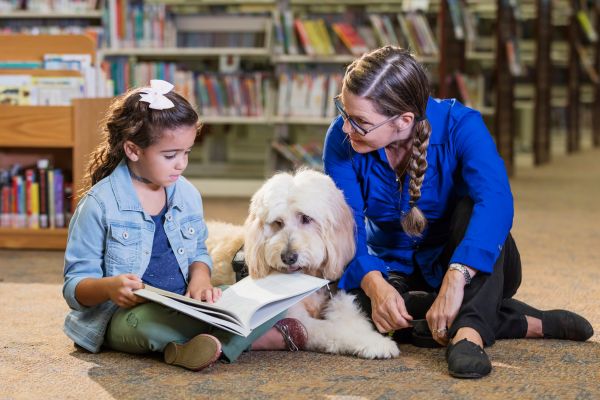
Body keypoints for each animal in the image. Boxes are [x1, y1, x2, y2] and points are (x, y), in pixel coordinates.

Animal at [206, 169, 398, 360]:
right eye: (278, 222)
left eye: (306, 218)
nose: (288, 257)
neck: (309, 275)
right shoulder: (299, 318)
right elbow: (334, 329)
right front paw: (375, 343)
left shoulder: (338, 297)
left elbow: (354, 319)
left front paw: (373, 337)